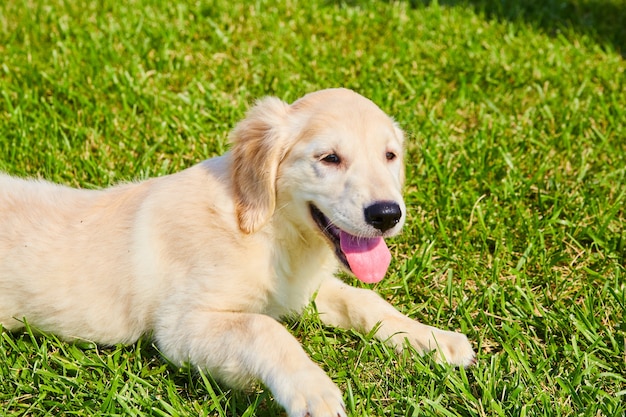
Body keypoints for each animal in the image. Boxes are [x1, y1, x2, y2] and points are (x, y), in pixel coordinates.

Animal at [0, 88, 472, 416]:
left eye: (390, 155)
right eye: (330, 158)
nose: (387, 214)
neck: (263, 229)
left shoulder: (298, 290)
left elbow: (367, 301)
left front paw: (435, 339)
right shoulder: (179, 327)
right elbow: (264, 329)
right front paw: (313, 390)